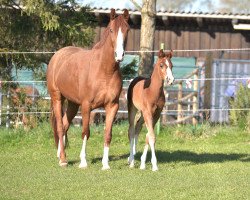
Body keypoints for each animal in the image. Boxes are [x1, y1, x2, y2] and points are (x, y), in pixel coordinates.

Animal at [46, 9, 131, 169]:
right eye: (111, 30)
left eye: (127, 29)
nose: (119, 55)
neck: (104, 70)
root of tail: (57, 55)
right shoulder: (86, 106)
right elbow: (85, 132)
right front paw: (83, 162)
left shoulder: (112, 106)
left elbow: (108, 134)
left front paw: (105, 164)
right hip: (57, 98)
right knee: (60, 126)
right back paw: (63, 160)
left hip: (73, 104)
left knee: (65, 125)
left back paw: (60, 154)